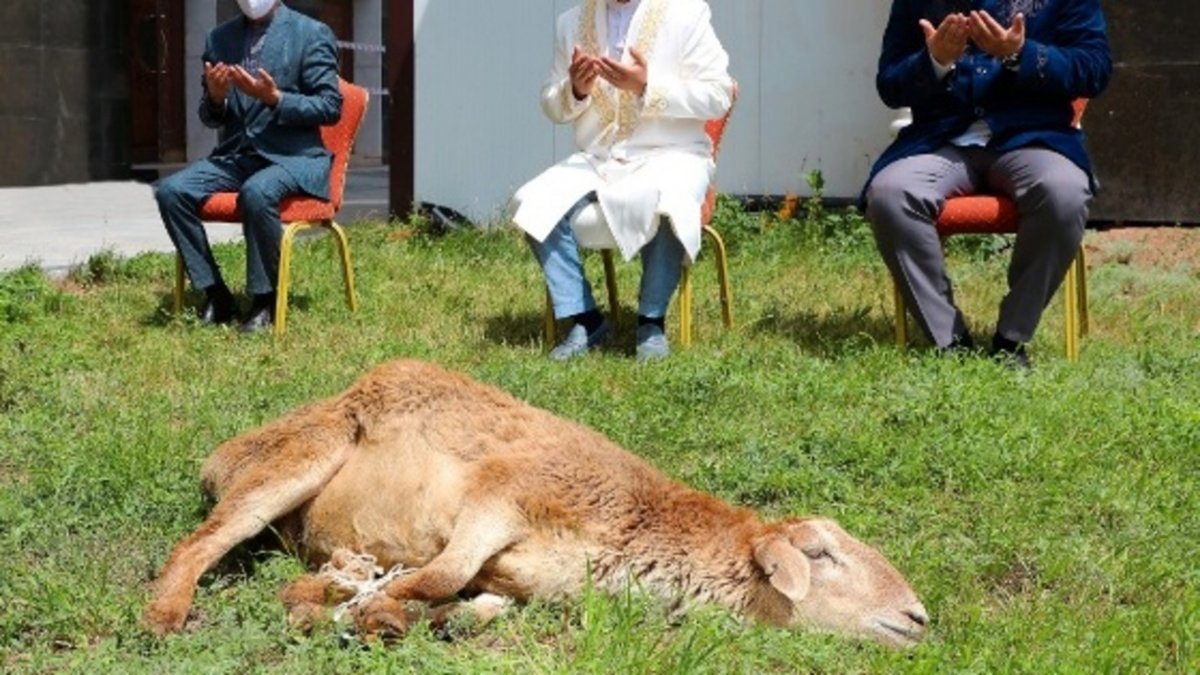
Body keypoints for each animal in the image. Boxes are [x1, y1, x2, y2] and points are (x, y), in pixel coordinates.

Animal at [142, 360, 926, 643]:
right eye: (820, 553)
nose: (920, 617)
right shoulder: (507, 492)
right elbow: (445, 571)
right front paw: (356, 607)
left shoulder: (524, 575)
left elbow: (469, 599)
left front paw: (383, 608)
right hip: (302, 453)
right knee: (202, 539)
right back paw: (165, 615)